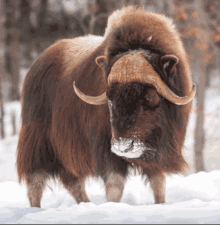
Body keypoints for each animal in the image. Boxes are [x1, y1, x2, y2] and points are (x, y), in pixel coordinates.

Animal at [17, 6, 196, 207]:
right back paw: (36, 209)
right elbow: (115, 186)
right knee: (36, 181)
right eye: (110, 97)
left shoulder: (158, 151)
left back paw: (85, 205)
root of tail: (36, 64)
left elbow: (159, 183)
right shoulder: (106, 150)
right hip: (38, 142)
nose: (123, 148)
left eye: (151, 95)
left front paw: (160, 205)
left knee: (73, 182)